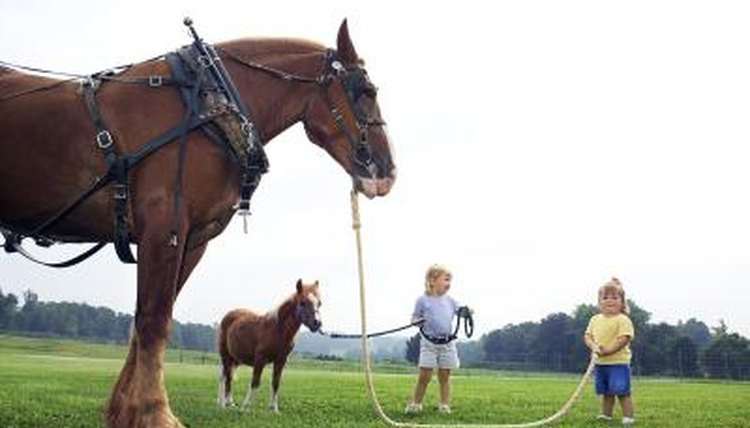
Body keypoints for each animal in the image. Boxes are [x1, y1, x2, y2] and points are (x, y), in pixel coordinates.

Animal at [217, 280, 324, 412]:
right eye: (302, 303)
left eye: (319, 303)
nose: (317, 323)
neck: (277, 329)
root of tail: (228, 316)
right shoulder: (260, 359)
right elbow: (255, 381)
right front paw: (246, 407)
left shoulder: (281, 360)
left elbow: (275, 383)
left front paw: (273, 409)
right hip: (225, 355)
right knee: (227, 377)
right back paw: (224, 403)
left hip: (236, 359)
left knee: (227, 376)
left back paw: (228, 402)